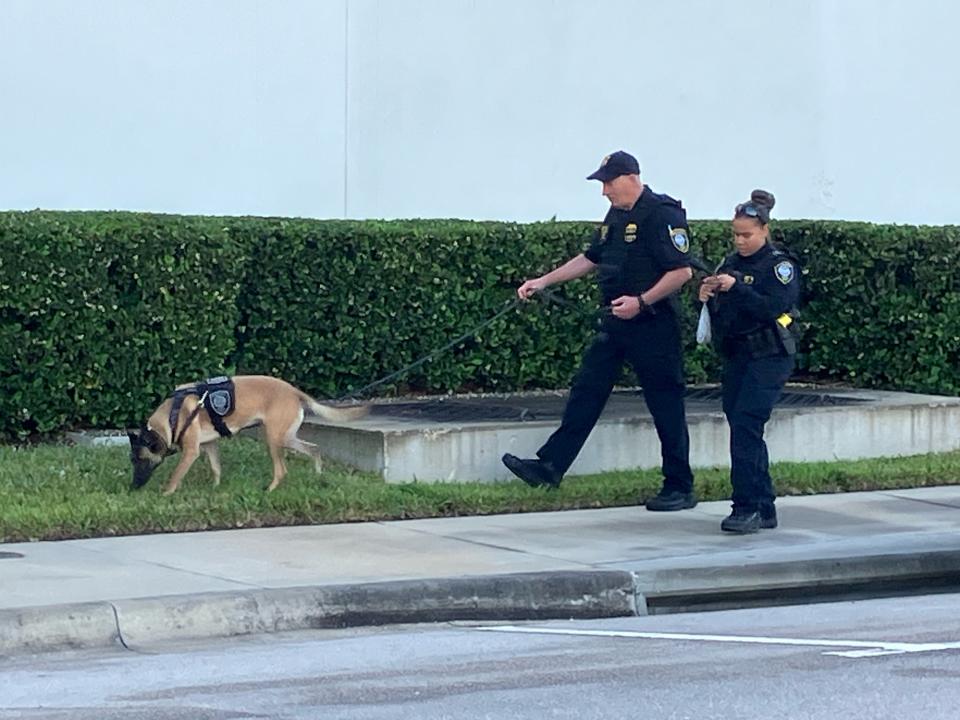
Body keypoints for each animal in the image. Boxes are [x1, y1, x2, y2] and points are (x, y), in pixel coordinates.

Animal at [125, 376, 366, 496]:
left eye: (140, 459)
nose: (132, 488)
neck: (172, 416)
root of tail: (294, 391)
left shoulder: (191, 452)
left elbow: (175, 475)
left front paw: (166, 493)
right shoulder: (210, 445)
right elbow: (216, 468)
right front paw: (215, 489)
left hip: (273, 438)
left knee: (282, 470)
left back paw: (269, 490)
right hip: (286, 438)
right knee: (314, 449)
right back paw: (318, 476)